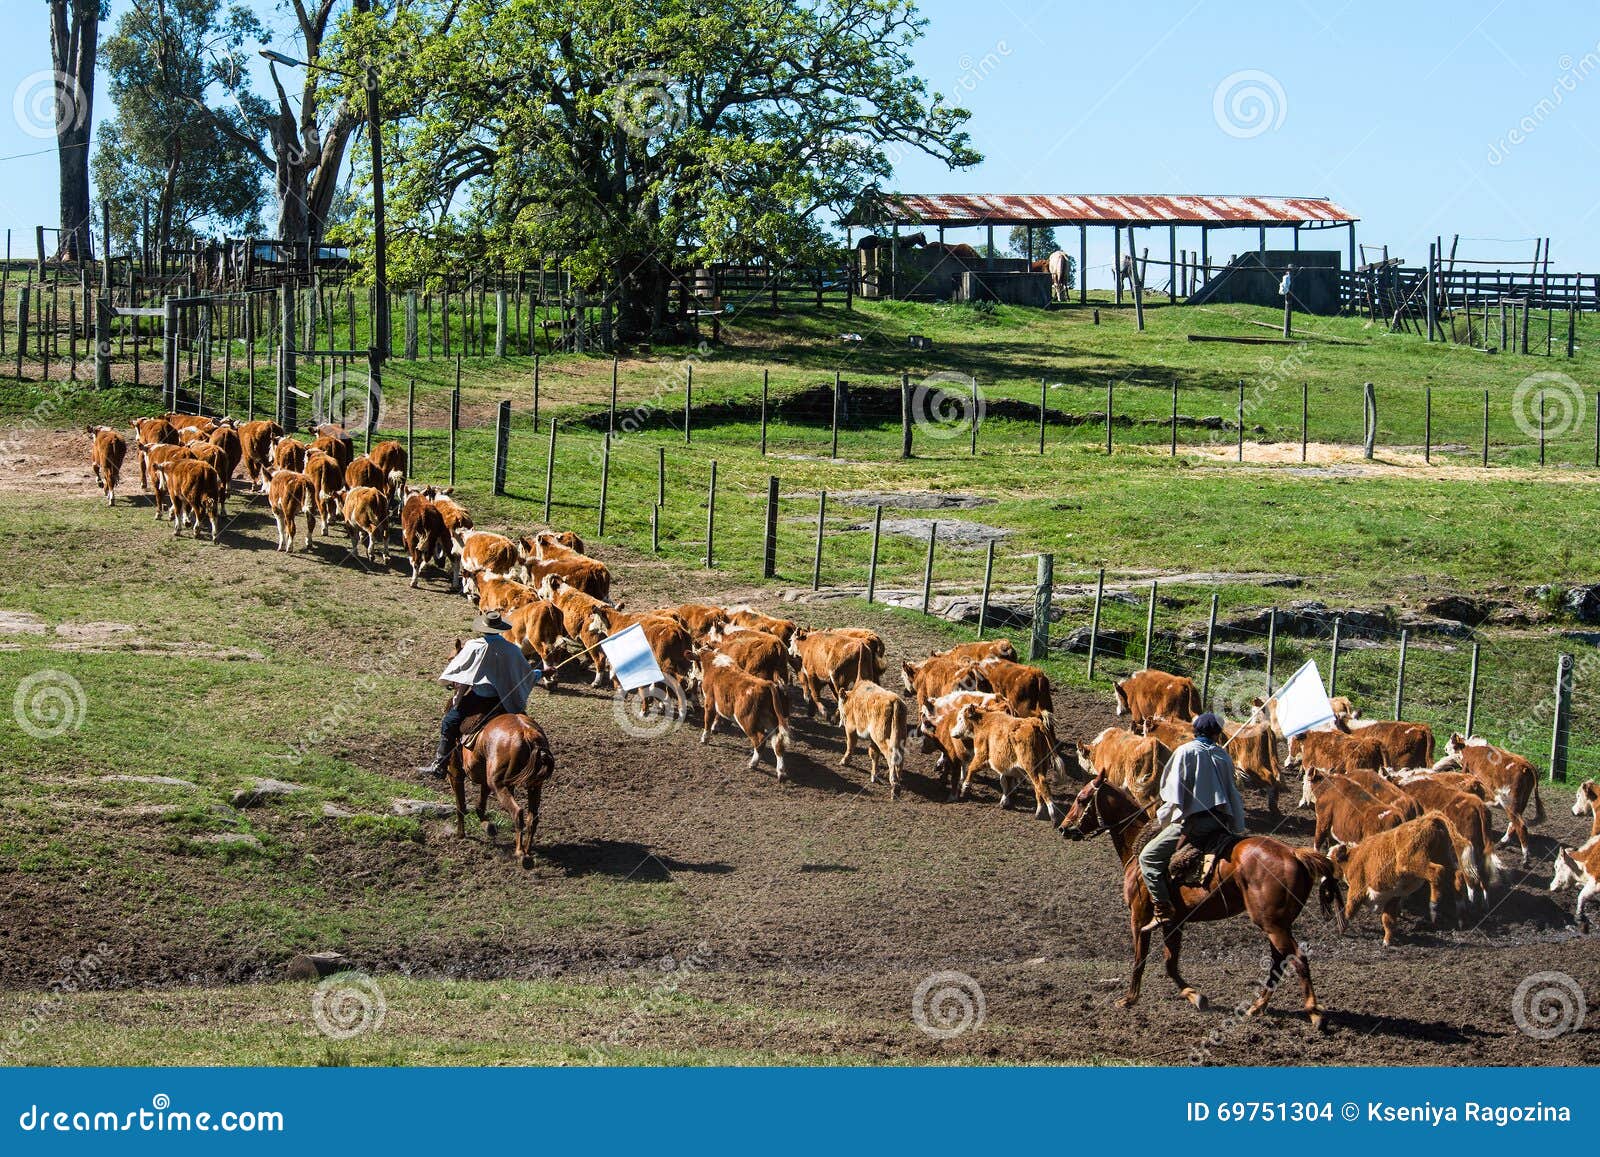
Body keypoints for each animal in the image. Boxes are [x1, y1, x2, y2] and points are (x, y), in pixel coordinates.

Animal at [684, 656, 790, 784]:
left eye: (692, 664)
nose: (689, 674)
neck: (711, 664)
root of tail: (765, 684)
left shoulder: (709, 702)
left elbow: (707, 721)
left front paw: (705, 738)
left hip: (747, 721)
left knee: (760, 741)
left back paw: (753, 764)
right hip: (770, 720)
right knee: (778, 743)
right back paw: (781, 772)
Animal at [1056, 768, 1344, 1030]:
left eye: (1082, 799)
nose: (1064, 828)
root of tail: (1295, 854)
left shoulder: (1139, 917)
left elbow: (1140, 958)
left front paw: (1129, 999)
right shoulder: (1174, 922)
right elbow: (1171, 963)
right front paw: (1196, 996)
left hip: (1272, 924)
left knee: (1297, 958)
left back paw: (1314, 1013)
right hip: (1278, 924)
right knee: (1278, 962)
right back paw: (1257, 1007)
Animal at [1331, 809, 1465, 947]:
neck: (1352, 857)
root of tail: (1427, 820)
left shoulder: (1357, 888)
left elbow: (1349, 909)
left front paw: (1342, 926)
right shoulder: (1392, 896)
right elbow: (1388, 919)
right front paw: (1387, 940)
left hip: (1412, 862)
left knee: (1437, 872)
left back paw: (1434, 906)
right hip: (1443, 856)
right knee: (1457, 876)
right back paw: (1460, 915)